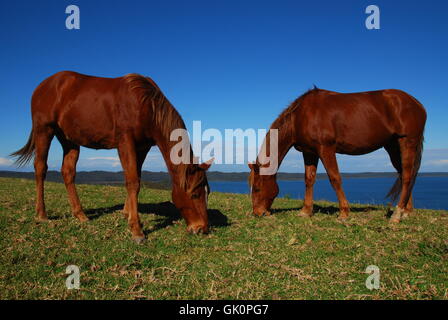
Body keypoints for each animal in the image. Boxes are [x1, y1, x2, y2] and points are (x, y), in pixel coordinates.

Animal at [10, 70, 214, 242]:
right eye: (195, 194)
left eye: (207, 193)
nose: (202, 228)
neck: (145, 104)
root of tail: (43, 85)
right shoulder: (125, 142)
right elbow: (133, 181)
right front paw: (136, 230)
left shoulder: (142, 147)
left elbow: (136, 179)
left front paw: (127, 213)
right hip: (44, 130)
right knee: (40, 168)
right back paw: (42, 213)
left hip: (69, 139)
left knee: (68, 172)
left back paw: (80, 214)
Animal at [248, 87, 428, 222]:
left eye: (257, 188)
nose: (258, 213)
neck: (301, 116)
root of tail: (418, 105)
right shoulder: (309, 152)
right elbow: (309, 179)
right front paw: (306, 211)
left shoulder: (326, 149)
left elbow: (334, 178)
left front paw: (343, 212)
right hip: (392, 146)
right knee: (404, 173)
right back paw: (406, 211)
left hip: (407, 141)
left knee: (407, 175)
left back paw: (397, 214)